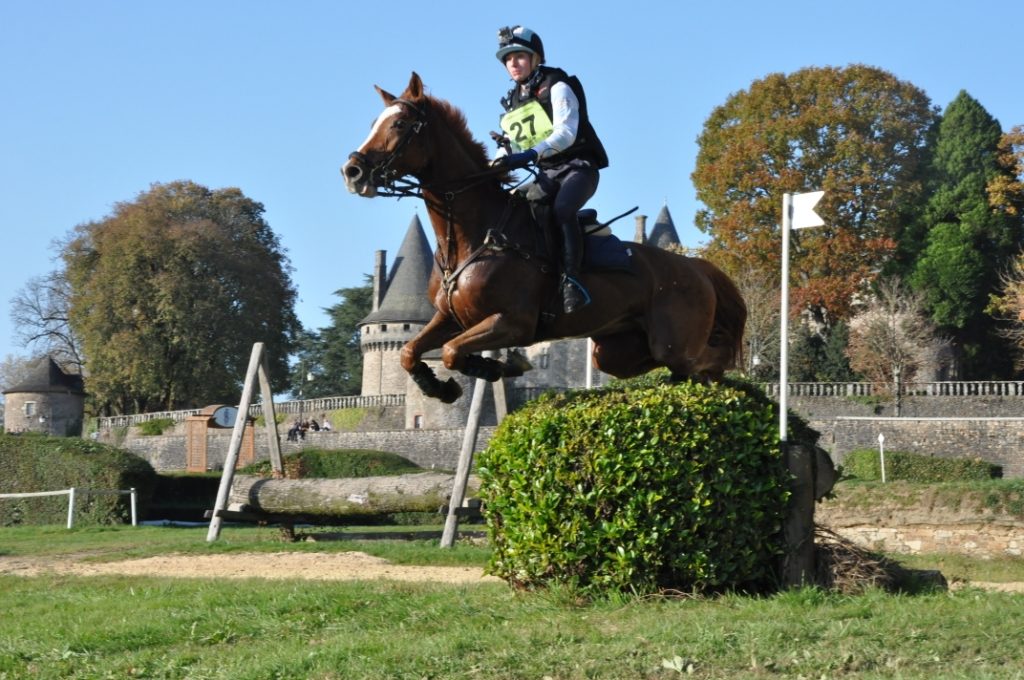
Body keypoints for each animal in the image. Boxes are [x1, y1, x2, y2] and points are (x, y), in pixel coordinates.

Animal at [344, 73, 745, 403]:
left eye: (400, 123)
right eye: (373, 123)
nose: (352, 171)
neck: (474, 238)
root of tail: (695, 266)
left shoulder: (514, 323)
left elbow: (450, 352)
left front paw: (493, 367)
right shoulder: (450, 318)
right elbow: (410, 352)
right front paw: (442, 386)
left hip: (673, 343)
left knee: (708, 361)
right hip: (617, 351)